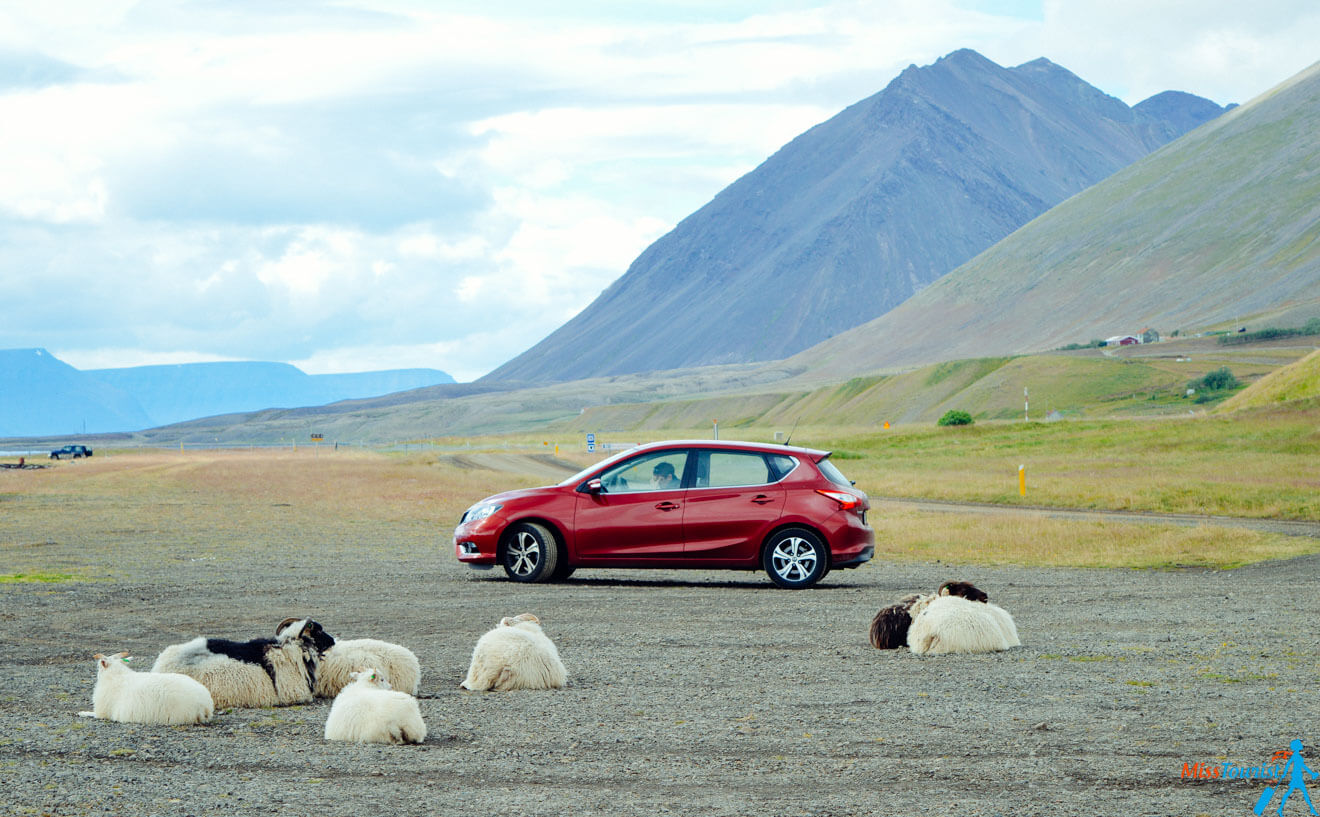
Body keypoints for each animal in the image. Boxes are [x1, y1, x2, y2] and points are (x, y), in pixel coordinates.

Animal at [79, 654, 213, 723]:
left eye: (98, 667)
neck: (115, 676)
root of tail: (205, 705)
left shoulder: (102, 712)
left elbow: (91, 714)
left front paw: (81, 712)